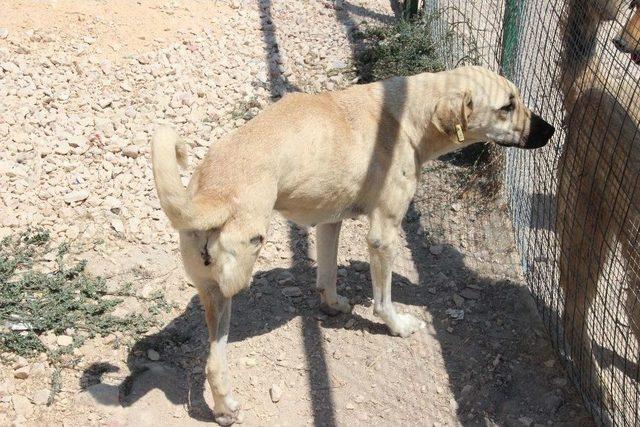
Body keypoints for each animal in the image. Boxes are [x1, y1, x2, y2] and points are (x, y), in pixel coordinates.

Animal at [150, 65, 556, 426]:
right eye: (507, 106)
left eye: (517, 99)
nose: (551, 129)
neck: (413, 113)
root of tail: (211, 195)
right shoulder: (384, 234)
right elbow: (383, 300)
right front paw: (398, 326)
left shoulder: (330, 222)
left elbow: (328, 276)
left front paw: (333, 307)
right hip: (237, 272)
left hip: (212, 296)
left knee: (212, 363)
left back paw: (225, 410)